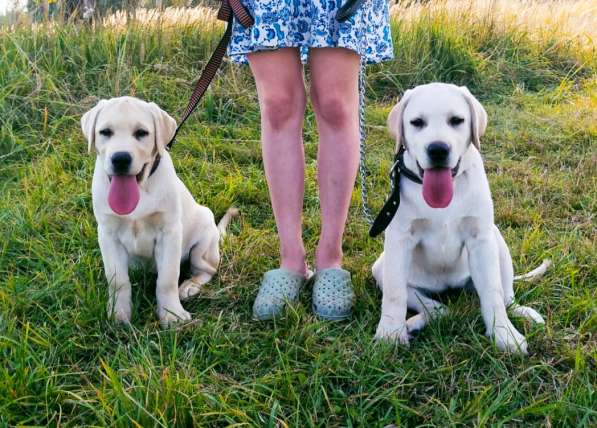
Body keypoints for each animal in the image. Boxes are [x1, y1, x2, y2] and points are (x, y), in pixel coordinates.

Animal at [81, 95, 235, 326]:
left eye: (141, 133)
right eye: (105, 132)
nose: (120, 158)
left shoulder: (169, 233)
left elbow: (167, 279)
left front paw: (172, 315)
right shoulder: (107, 234)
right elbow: (118, 279)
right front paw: (118, 314)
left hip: (203, 244)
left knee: (207, 270)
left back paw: (189, 286)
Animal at [372, 82, 544, 352]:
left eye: (456, 120)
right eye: (417, 122)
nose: (438, 149)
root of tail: (449, 286)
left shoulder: (481, 239)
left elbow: (492, 294)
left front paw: (504, 335)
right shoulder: (399, 240)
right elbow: (394, 292)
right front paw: (390, 333)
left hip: (497, 241)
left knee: (506, 297)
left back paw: (523, 313)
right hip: (381, 267)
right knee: (430, 304)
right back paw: (418, 321)